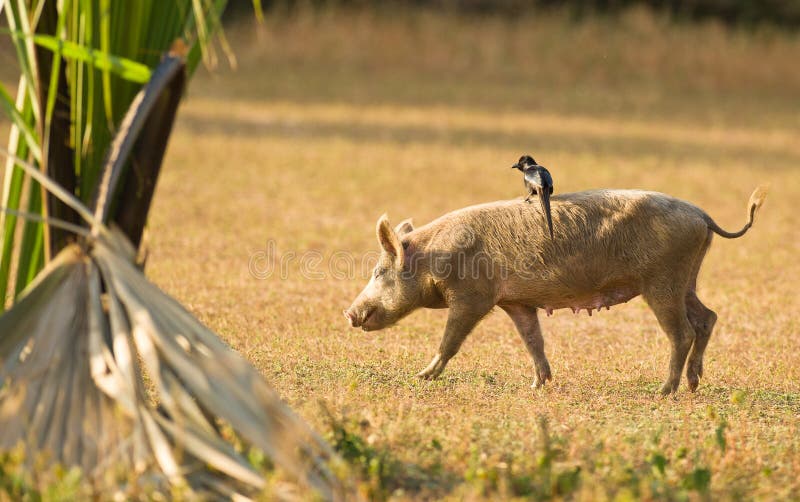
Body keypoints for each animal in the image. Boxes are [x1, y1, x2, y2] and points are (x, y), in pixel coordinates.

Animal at [344, 188, 768, 396]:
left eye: (379, 271)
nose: (349, 313)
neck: (437, 257)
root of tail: (702, 215)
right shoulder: (516, 302)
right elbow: (533, 340)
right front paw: (537, 384)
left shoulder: (472, 297)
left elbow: (451, 340)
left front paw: (421, 376)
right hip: (688, 278)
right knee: (707, 317)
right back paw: (694, 385)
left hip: (663, 279)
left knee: (682, 331)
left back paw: (664, 391)